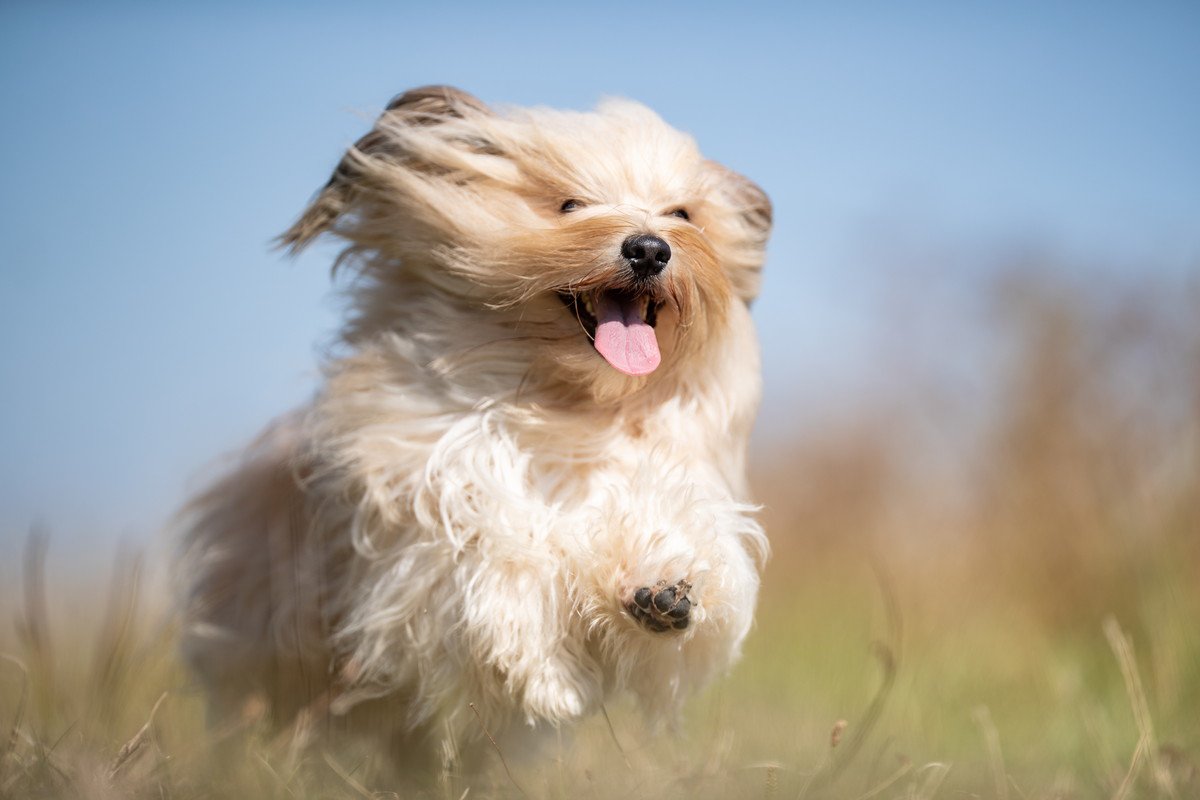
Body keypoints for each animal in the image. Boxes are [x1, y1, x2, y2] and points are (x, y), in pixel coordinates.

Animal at [182, 87, 772, 777]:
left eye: (682, 213)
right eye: (570, 204)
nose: (650, 248)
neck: (564, 402)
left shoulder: (660, 474)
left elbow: (671, 533)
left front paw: (663, 592)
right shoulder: (429, 506)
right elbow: (501, 562)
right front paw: (548, 673)